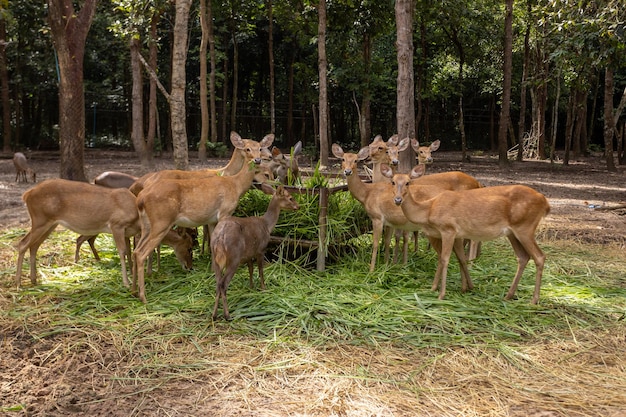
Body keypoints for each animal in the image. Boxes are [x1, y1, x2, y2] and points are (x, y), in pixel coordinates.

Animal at [13, 178, 191, 290]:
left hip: (50, 224)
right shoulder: (116, 225)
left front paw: (132, 275)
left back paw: (34, 280)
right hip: (40, 219)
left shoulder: (127, 232)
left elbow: (130, 253)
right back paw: (18, 283)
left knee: (34, 246)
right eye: (190, 247)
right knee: (22, 244)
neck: (137, 215)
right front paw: (126, 283)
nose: (190, 267)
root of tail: (27, 194)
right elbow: (122, 252)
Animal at [130, 160, 266, 302]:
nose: (190, 267)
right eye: (189, 247)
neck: (235, 185)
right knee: (141, 253)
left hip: (146, 226)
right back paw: (143, 296)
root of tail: (140, 199)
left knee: (135, 251)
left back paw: (133, 290)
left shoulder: (212, 220)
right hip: (160, 224)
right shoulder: (224, 213)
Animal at [208, 184, 298, 320]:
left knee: (218, 283)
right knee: (223, 283)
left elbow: (250, 270)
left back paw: (214, 315)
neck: (267, 226)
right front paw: (263, 288)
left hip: (215, 257)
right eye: (290, 197)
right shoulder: (261, 249)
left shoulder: (248, 254)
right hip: (234, 256)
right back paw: (227, 315)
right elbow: (260, 270)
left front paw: (251, 287)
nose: (298, 206)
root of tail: (220, 236)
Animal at [332, 143, 478, 272]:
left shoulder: (377, 217)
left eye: (356, 160)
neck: (366, 194)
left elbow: (376, 243)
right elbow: (387, 241)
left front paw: (372, 270)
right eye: (343, 159)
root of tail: (478, 183)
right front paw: (387, 264)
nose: (347, 171)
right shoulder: (390, 221)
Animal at [386, 164, 552, 304]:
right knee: (523, 257)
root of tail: (545, 202)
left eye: (408, 183)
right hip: (513, 232)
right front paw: (437, 288)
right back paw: (508, 295)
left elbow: (445, 259)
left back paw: (534, 300)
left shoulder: (448, 229)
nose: (397, 199)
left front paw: (441, 294)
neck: (429, 209)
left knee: (539, 256)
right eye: (392, 182)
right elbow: (458, 258)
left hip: (525, 227)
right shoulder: (457, 234)